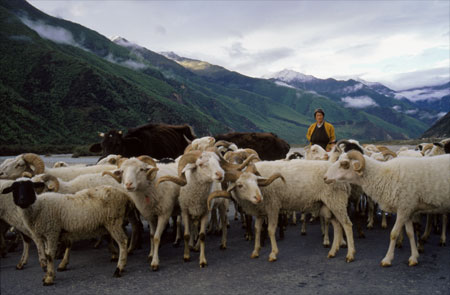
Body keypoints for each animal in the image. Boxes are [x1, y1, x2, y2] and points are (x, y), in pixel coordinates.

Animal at [1, 180, 132, 286]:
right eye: (14, 189)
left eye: (29, 187)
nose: (22, 200)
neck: (38, 208)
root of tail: (124, 195)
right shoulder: (46, 235)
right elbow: (47, 254)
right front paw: (47, 275)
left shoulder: (52, 231)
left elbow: (49, 255)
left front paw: (49, 278)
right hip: (110, 223)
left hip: (114, 220)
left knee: (123, 241)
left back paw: (119, 269)